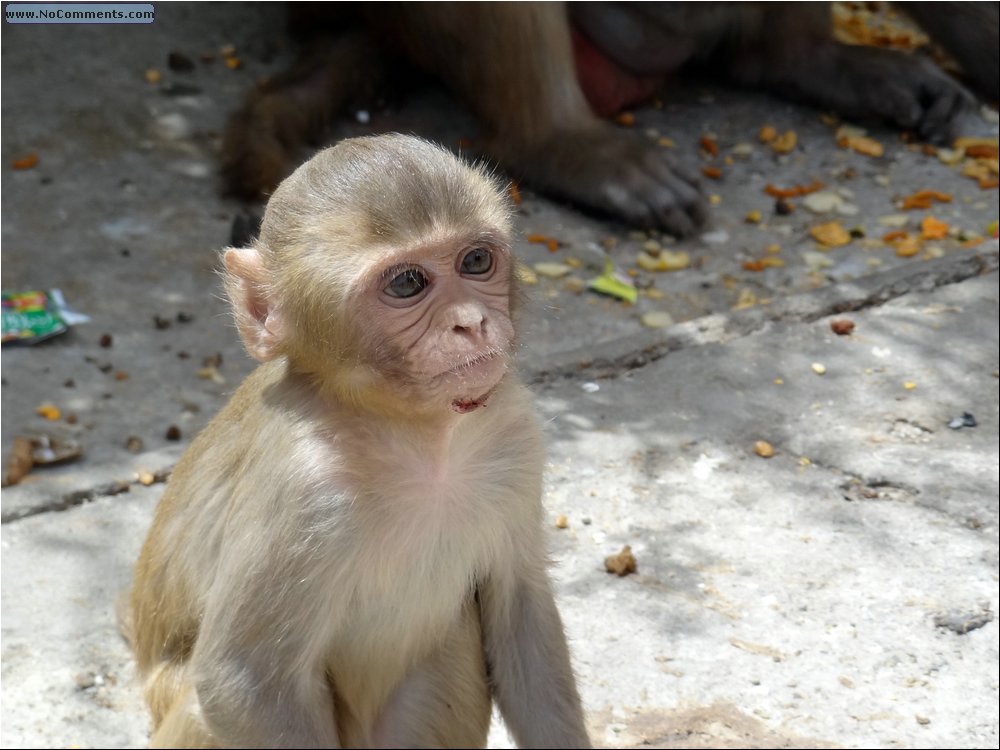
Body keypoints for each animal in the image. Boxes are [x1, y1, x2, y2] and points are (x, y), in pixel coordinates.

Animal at [128, 132, 588, 748]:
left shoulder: (515, 433)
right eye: (407, 283)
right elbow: (242, 682)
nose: (470, 322)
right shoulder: (302, 489)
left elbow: (519, 610)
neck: (416, 438)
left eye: (476, 261)